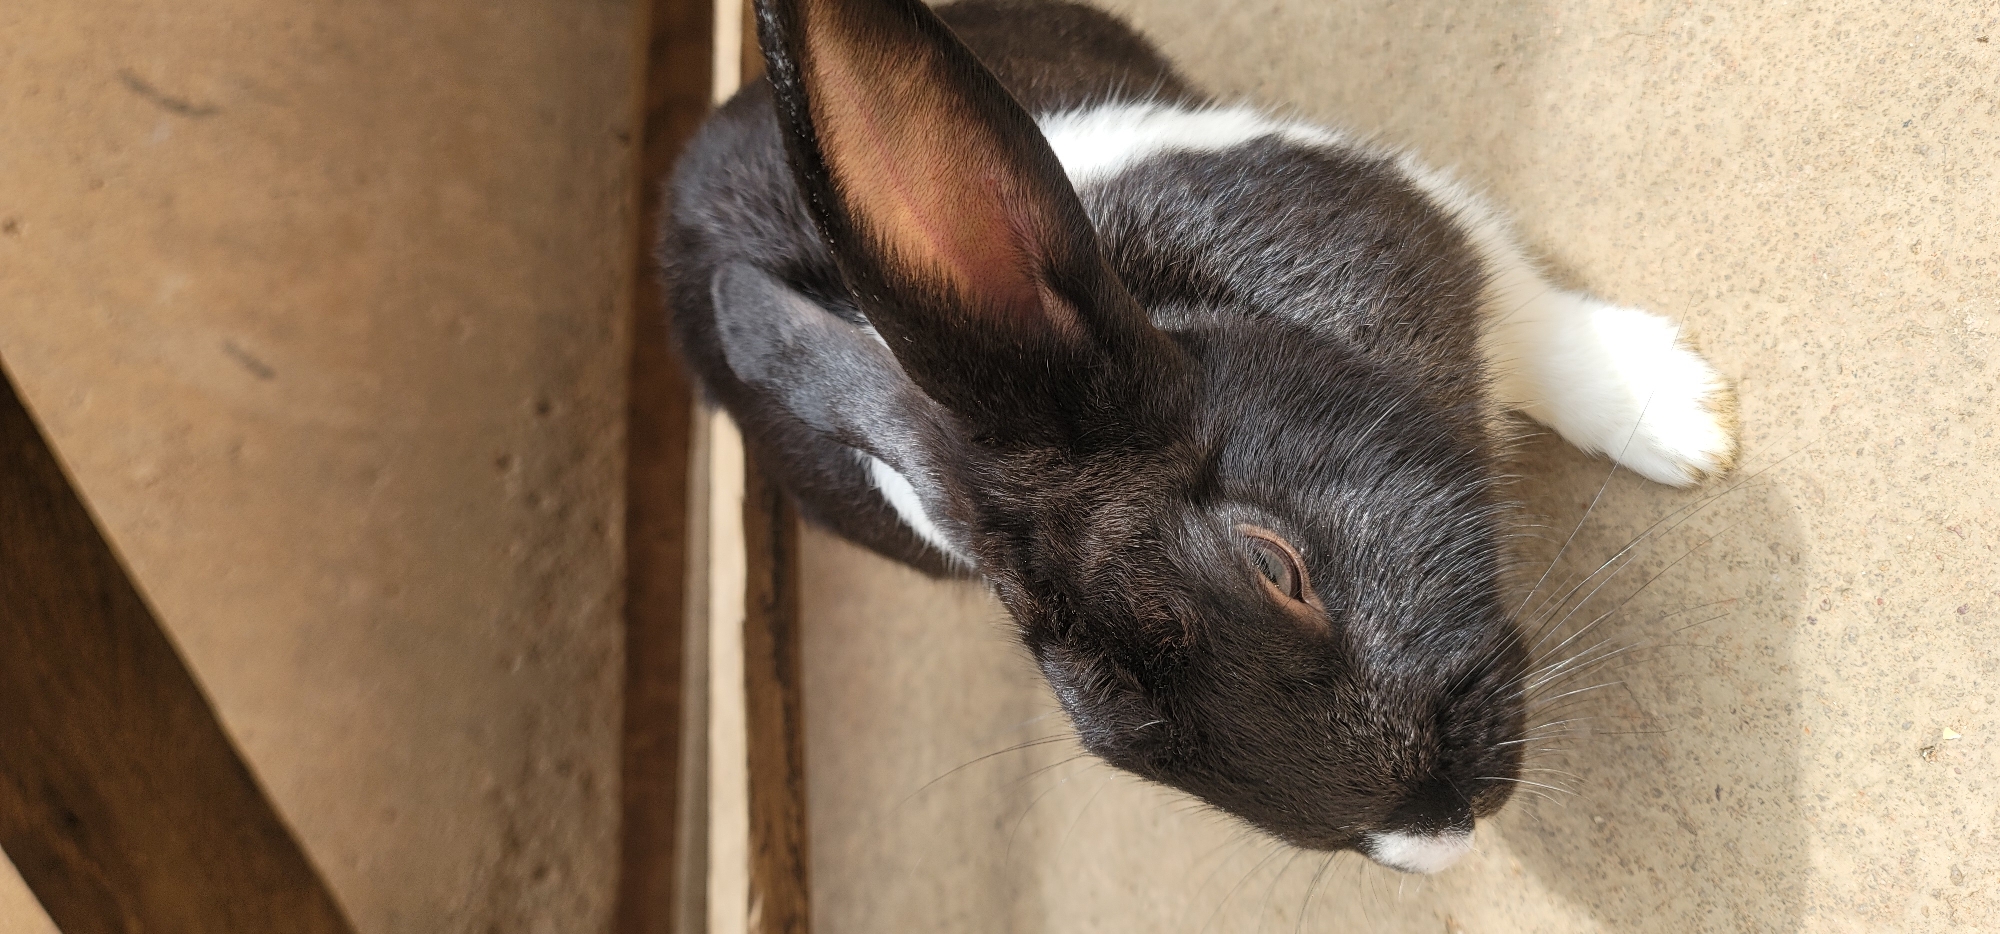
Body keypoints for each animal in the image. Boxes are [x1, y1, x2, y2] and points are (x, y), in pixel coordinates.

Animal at [658, 0, 1738, 874]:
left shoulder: (1418, 222)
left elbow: (1539, 327)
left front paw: (1684, 422)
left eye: (1274, 566)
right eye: (1119, 743)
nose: (1433, 838)